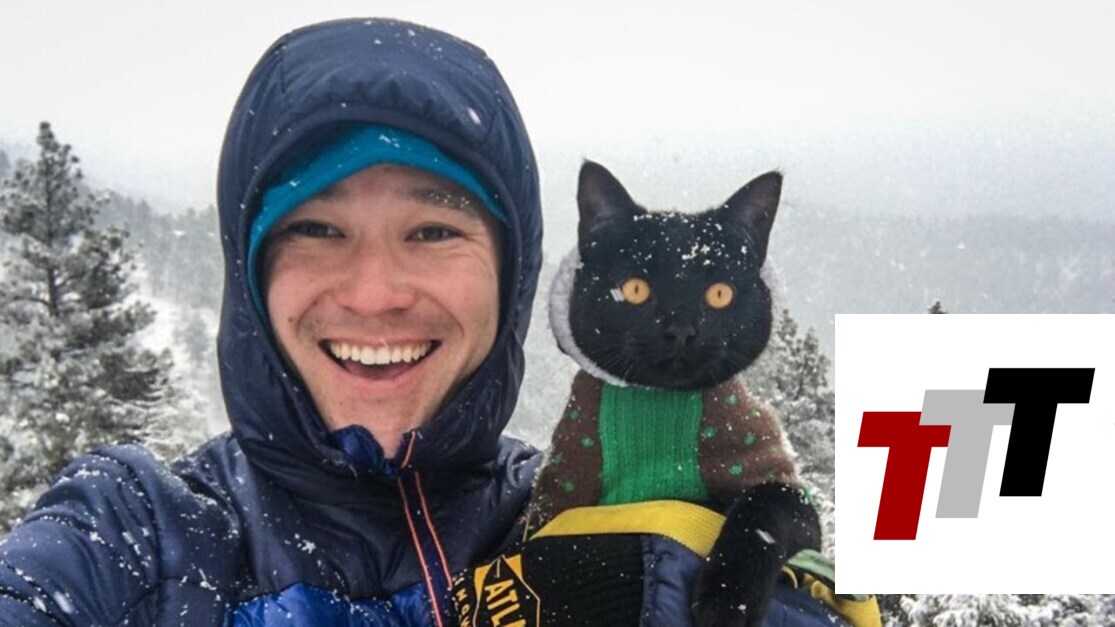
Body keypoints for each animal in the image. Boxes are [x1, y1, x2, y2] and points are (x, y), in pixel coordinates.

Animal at [531, 160, 821, 627]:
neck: (659, 403)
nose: (681, 330)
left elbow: (763, 509)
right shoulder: (559, 493)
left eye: (719, 294)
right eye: (635, 289)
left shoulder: (778, 480)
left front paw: (729, 601)